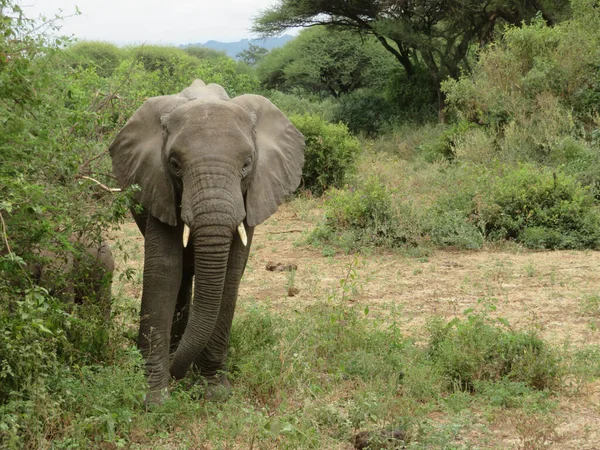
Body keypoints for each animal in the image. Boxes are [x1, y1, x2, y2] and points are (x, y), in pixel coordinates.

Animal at [108, 79, 304, 402]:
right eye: (174, 164)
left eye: (247, 164)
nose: (178, 375)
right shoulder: (159, 185)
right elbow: (164, 269)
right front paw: (155, 398)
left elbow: (231, 273)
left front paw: (213, 391)